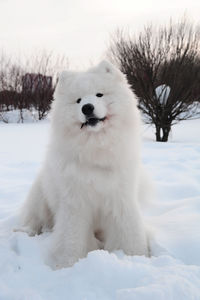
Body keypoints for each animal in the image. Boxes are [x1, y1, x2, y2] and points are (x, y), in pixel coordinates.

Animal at [19, 60, 150, 268]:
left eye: (99, 94)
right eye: (78, 100)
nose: (87, 108)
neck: (95, 149)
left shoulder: (120, 199)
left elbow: (128, 231)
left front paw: (136, 256)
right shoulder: (75, 203)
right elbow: (71, 237)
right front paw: (67, 263)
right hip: (40, 200)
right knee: (33, 220)